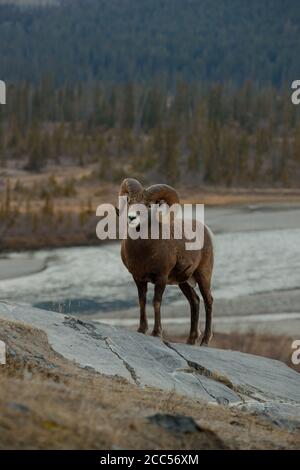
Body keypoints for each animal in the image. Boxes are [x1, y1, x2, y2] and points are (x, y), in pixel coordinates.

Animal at [117, 177, 213, 346]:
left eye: (149, 205)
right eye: (130, 201)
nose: (132, 218)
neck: (144, 252)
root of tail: (206, 231)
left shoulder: (161, 278)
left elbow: (156, 302)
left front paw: (156, 333)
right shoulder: (138, 278)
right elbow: (142, 301)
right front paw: (141, 330)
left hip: (203, 276)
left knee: (208, 301)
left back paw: (205, 341)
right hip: (184, 282)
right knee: (194, 301)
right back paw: (191, 339)